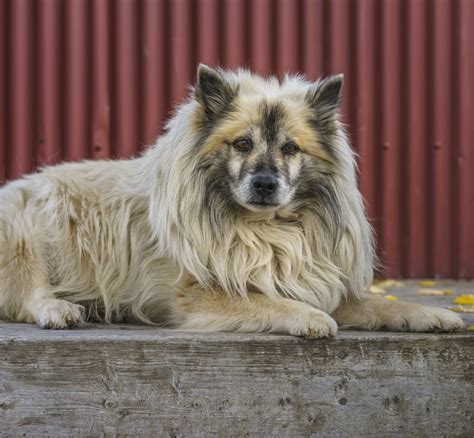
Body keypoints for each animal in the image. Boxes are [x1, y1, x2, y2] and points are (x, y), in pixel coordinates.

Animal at [0, 65, 462, 336]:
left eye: (290, 149)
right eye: (242, 144)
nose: (265, 184)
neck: (266, 228)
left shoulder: (316, 280)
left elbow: (373, 302)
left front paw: (430, 315)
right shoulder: (198, 294)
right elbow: (269, 301)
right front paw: (312, 318)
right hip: (26, 231)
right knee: (27, 295)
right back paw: (60, 309)